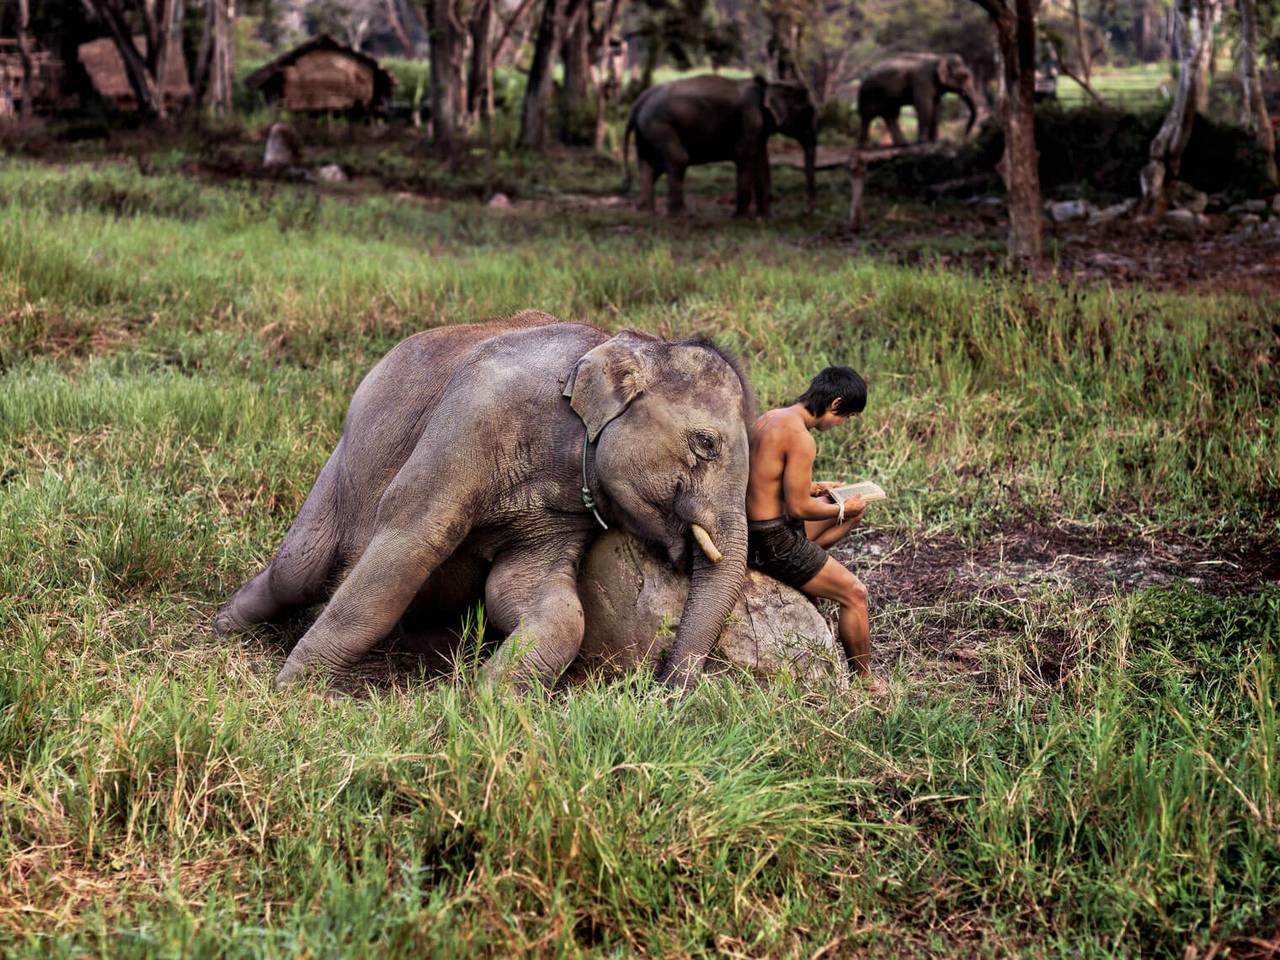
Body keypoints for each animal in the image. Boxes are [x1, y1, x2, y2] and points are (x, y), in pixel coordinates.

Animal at [622, 74, 819, 217]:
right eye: (809, 112)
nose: (806, 212)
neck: (768, 84)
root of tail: (639, 101)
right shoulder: (749, 119)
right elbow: (744, 156)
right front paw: (741, 218)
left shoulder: (759, 128)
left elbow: (762, 162)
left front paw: (765, 218)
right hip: (660, 126)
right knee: (678, 160)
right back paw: (681, 216)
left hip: (646, 131)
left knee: (649, 166)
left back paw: (647, 212)